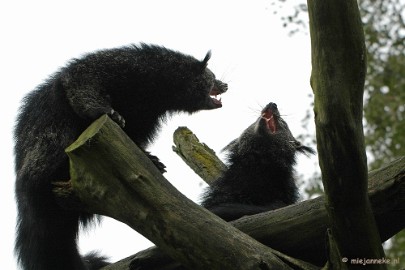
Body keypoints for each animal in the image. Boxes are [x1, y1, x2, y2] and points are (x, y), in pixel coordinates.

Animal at [13, 43, 227, 268]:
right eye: (212, 76)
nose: (225, 84)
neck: (155, 89)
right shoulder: (116, 65)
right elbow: (81, 84)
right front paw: (106, 111)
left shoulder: (143, 113)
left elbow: (133, 136)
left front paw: (150, 158)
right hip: (44, 147)